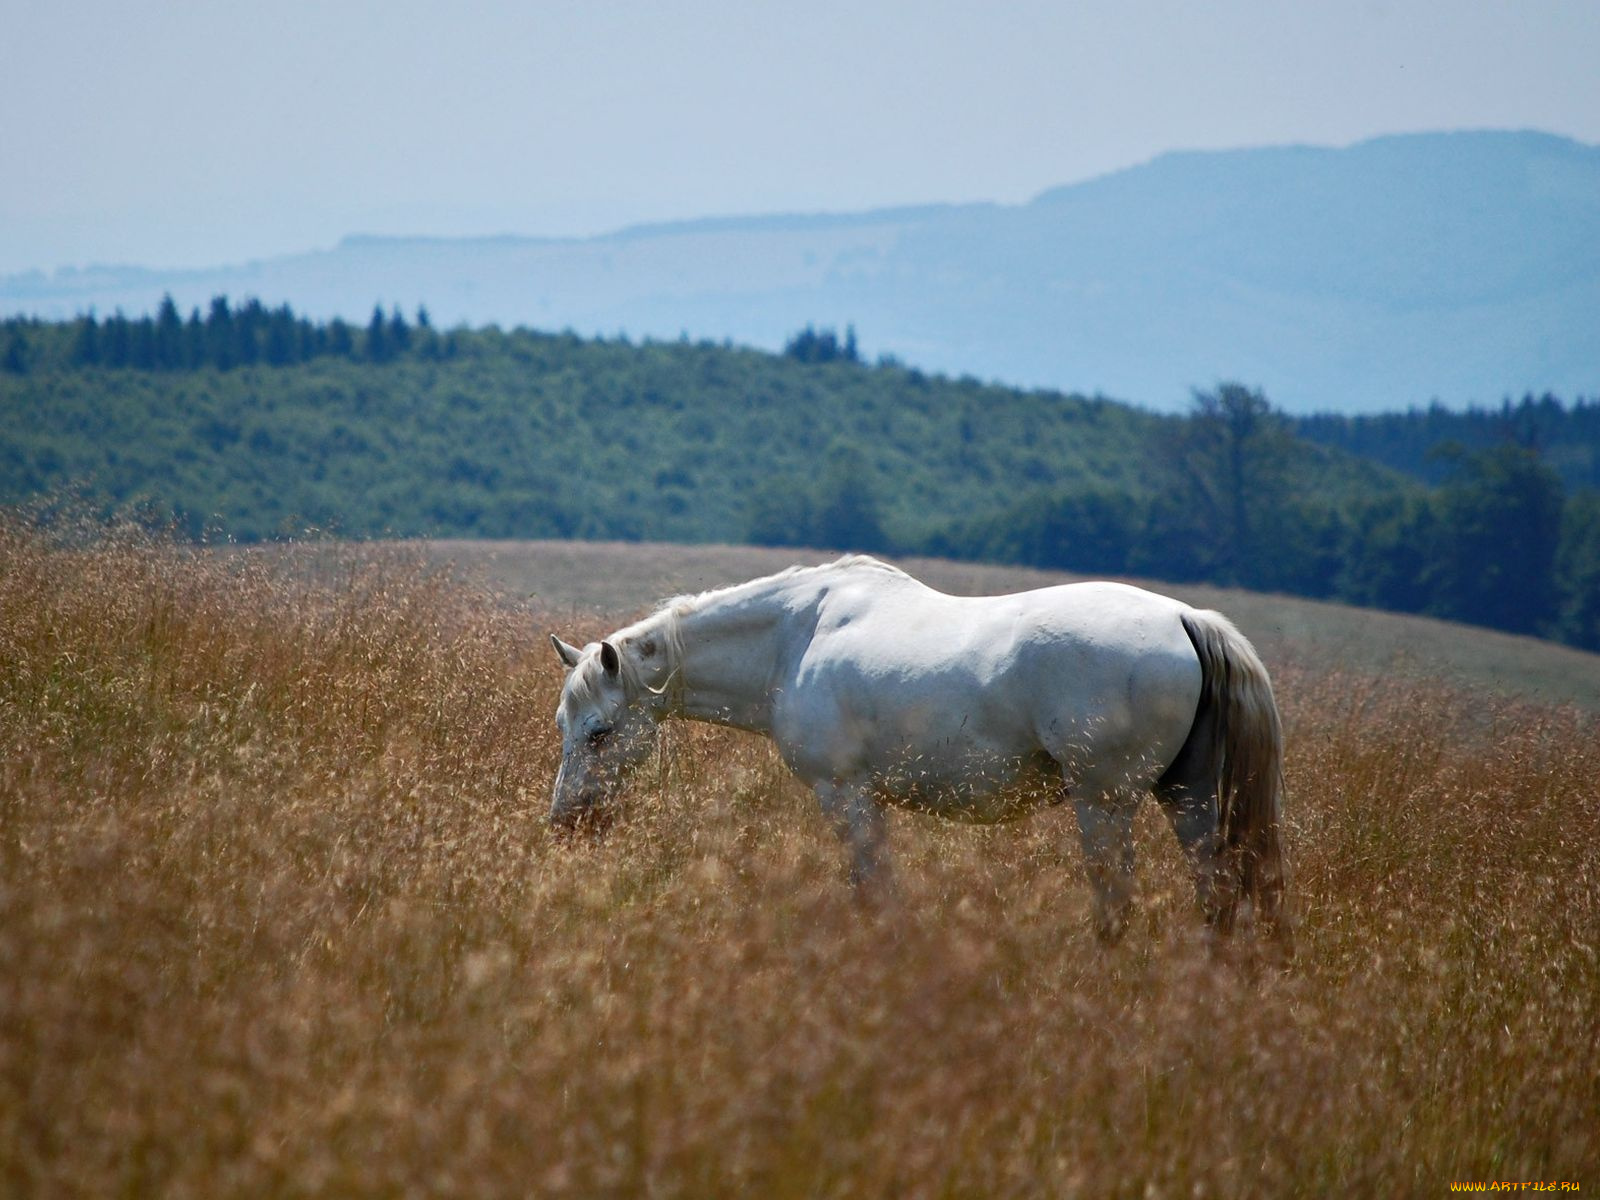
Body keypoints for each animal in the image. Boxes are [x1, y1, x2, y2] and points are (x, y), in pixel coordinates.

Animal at [550, 560, 1286, 947]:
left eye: (599, 733)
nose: (566, 826)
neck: (794, 638)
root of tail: (1184, 619)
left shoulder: (847, 795)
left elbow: (872, 891)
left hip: (1104, 804)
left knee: (1117, 902)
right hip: (1188, 800)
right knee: (1218, 895)